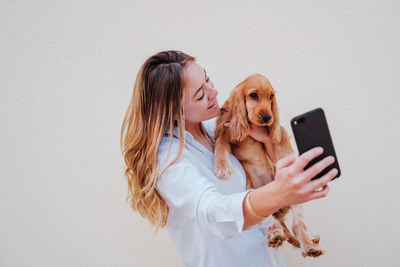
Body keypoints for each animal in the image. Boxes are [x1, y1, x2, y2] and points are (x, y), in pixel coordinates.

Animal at [214, 74, 324, 258]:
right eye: (253, 95)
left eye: (271, 97)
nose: (267, 117)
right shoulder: (227, 130)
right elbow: (220, 143)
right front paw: (222, 167)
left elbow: (280, 134)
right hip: (253, 193)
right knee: (271, 223)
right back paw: (275, 235)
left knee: (296, 225)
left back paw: (309, 245)